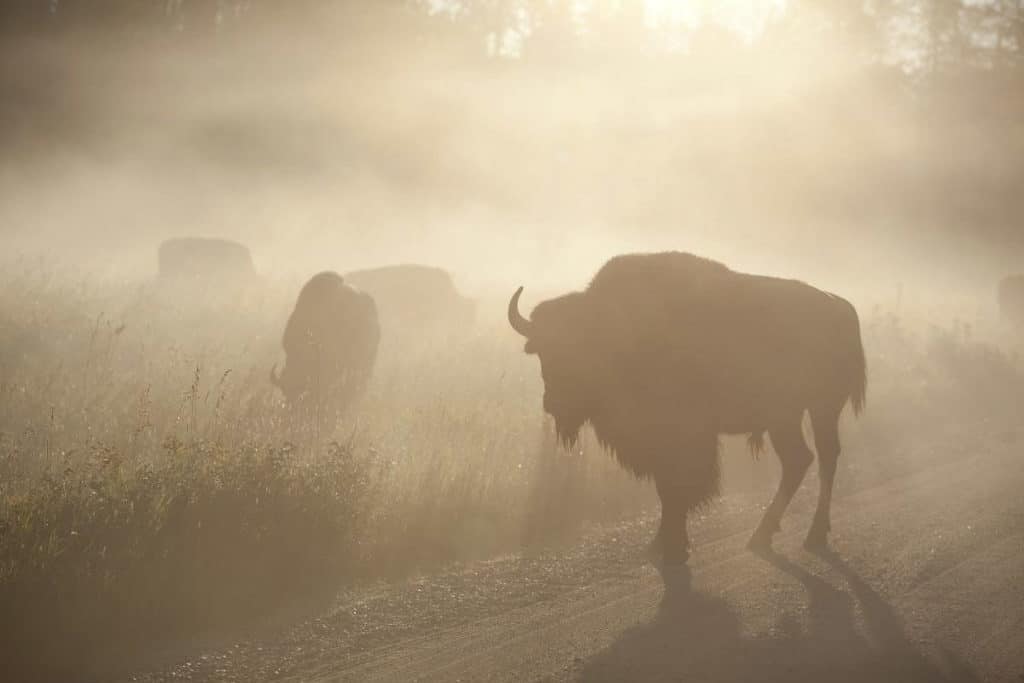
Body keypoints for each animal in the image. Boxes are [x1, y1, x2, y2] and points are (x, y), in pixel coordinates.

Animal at [503, 253, 864, 565]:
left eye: (581, 347)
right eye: (543, 351)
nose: (553, 403)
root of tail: (840, 306)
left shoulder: (684, 440)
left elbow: (677, 489)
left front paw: (673, 547)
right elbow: (666, 490)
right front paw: (662, 544)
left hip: (819, 409)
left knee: (823, 459)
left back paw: (807, 534)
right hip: (787, 418)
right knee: (801, 460)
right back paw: (767, 534)